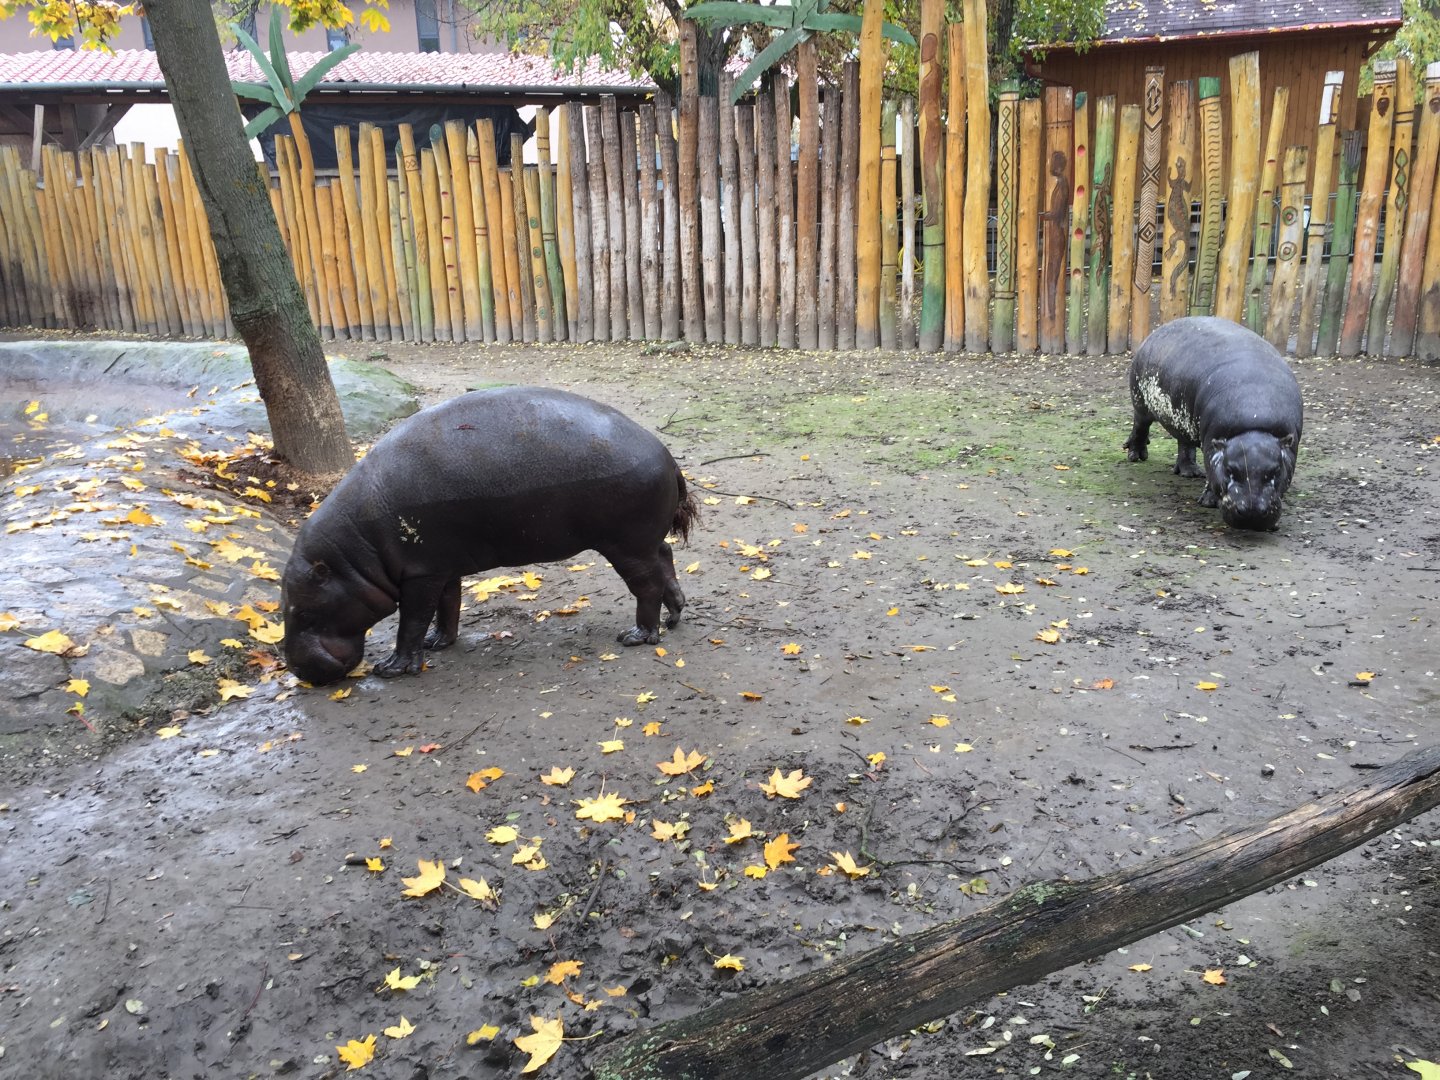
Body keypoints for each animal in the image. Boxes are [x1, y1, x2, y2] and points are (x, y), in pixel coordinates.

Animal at [281, 387, 700, 686]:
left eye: (301, 610)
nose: (299, 672)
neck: (354, 555)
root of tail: (667, 454)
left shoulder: (419, 573)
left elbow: (412, 620)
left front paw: (393, 668)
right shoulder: (441, 567)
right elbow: (448, 605)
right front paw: (439, 643)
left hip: (626, 545)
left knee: (646, 585)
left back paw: (638, 636)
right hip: (643, 541)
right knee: (665, 560)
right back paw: (674, 616)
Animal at [1123, 316, 1302, 531]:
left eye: (1276, 470)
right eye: (1229, 470)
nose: (1252, 515)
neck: (1255, 419)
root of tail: (1157, 331)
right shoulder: (1211, 444)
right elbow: (1212, 473)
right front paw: (1208, 503)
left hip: (1185, 422)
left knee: (1184, 443)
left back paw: (1190, 473)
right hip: (1140, 401)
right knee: (1140, 426)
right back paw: (1135, 456)